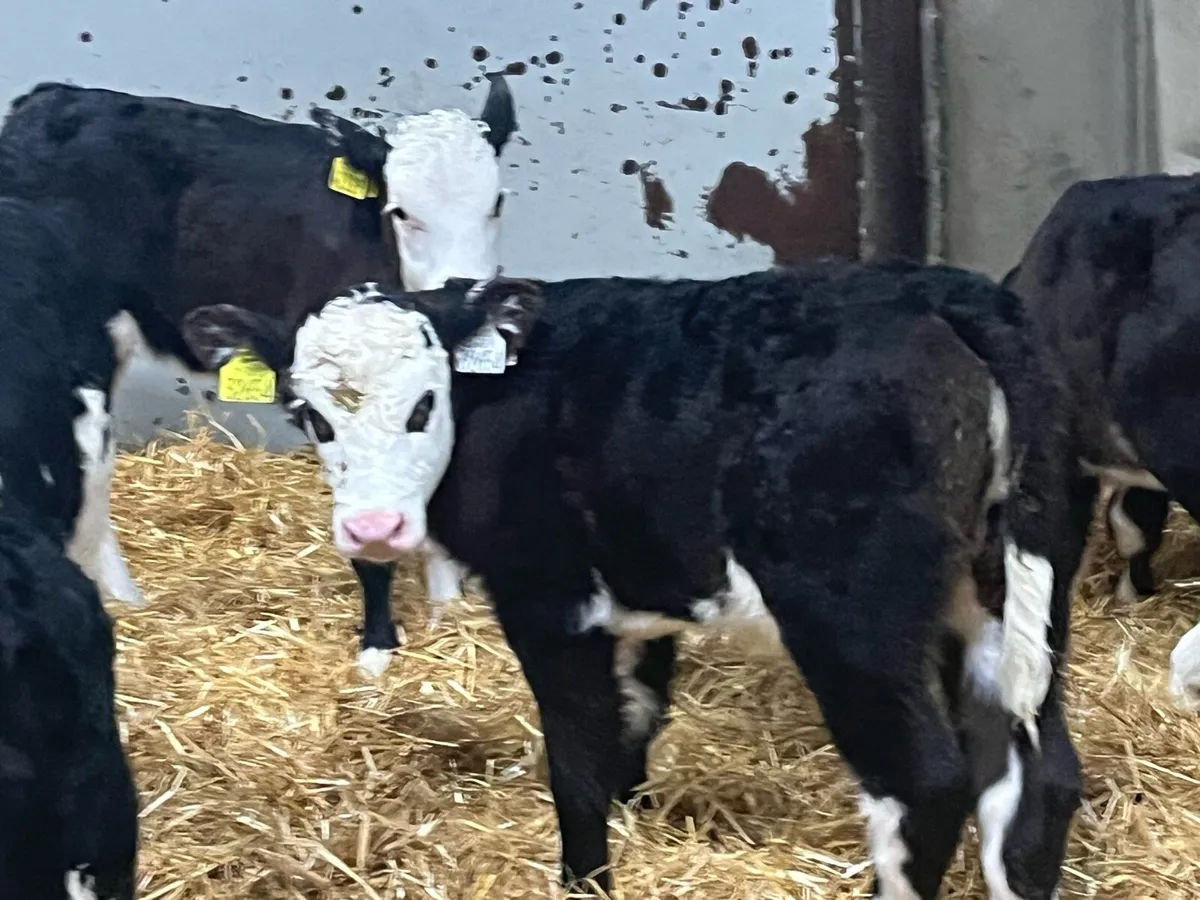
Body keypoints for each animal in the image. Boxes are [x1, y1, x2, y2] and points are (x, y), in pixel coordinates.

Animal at [0, 76, 519, 674]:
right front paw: (378, 647)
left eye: (496, 202)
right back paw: (127, 597)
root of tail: (51, 96)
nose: (464, 283)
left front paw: (446, 602)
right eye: (402, 211)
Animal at [178, 262, 1090, 898]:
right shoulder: (641, 601)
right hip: (1011, 602)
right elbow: (633, 726)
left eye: (424, 405)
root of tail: (944, 290)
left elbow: (579, 764)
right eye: (310, 415)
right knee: (1035, 776)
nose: (373, 529)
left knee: (922, 782)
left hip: (852, 622)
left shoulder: (548, 602)